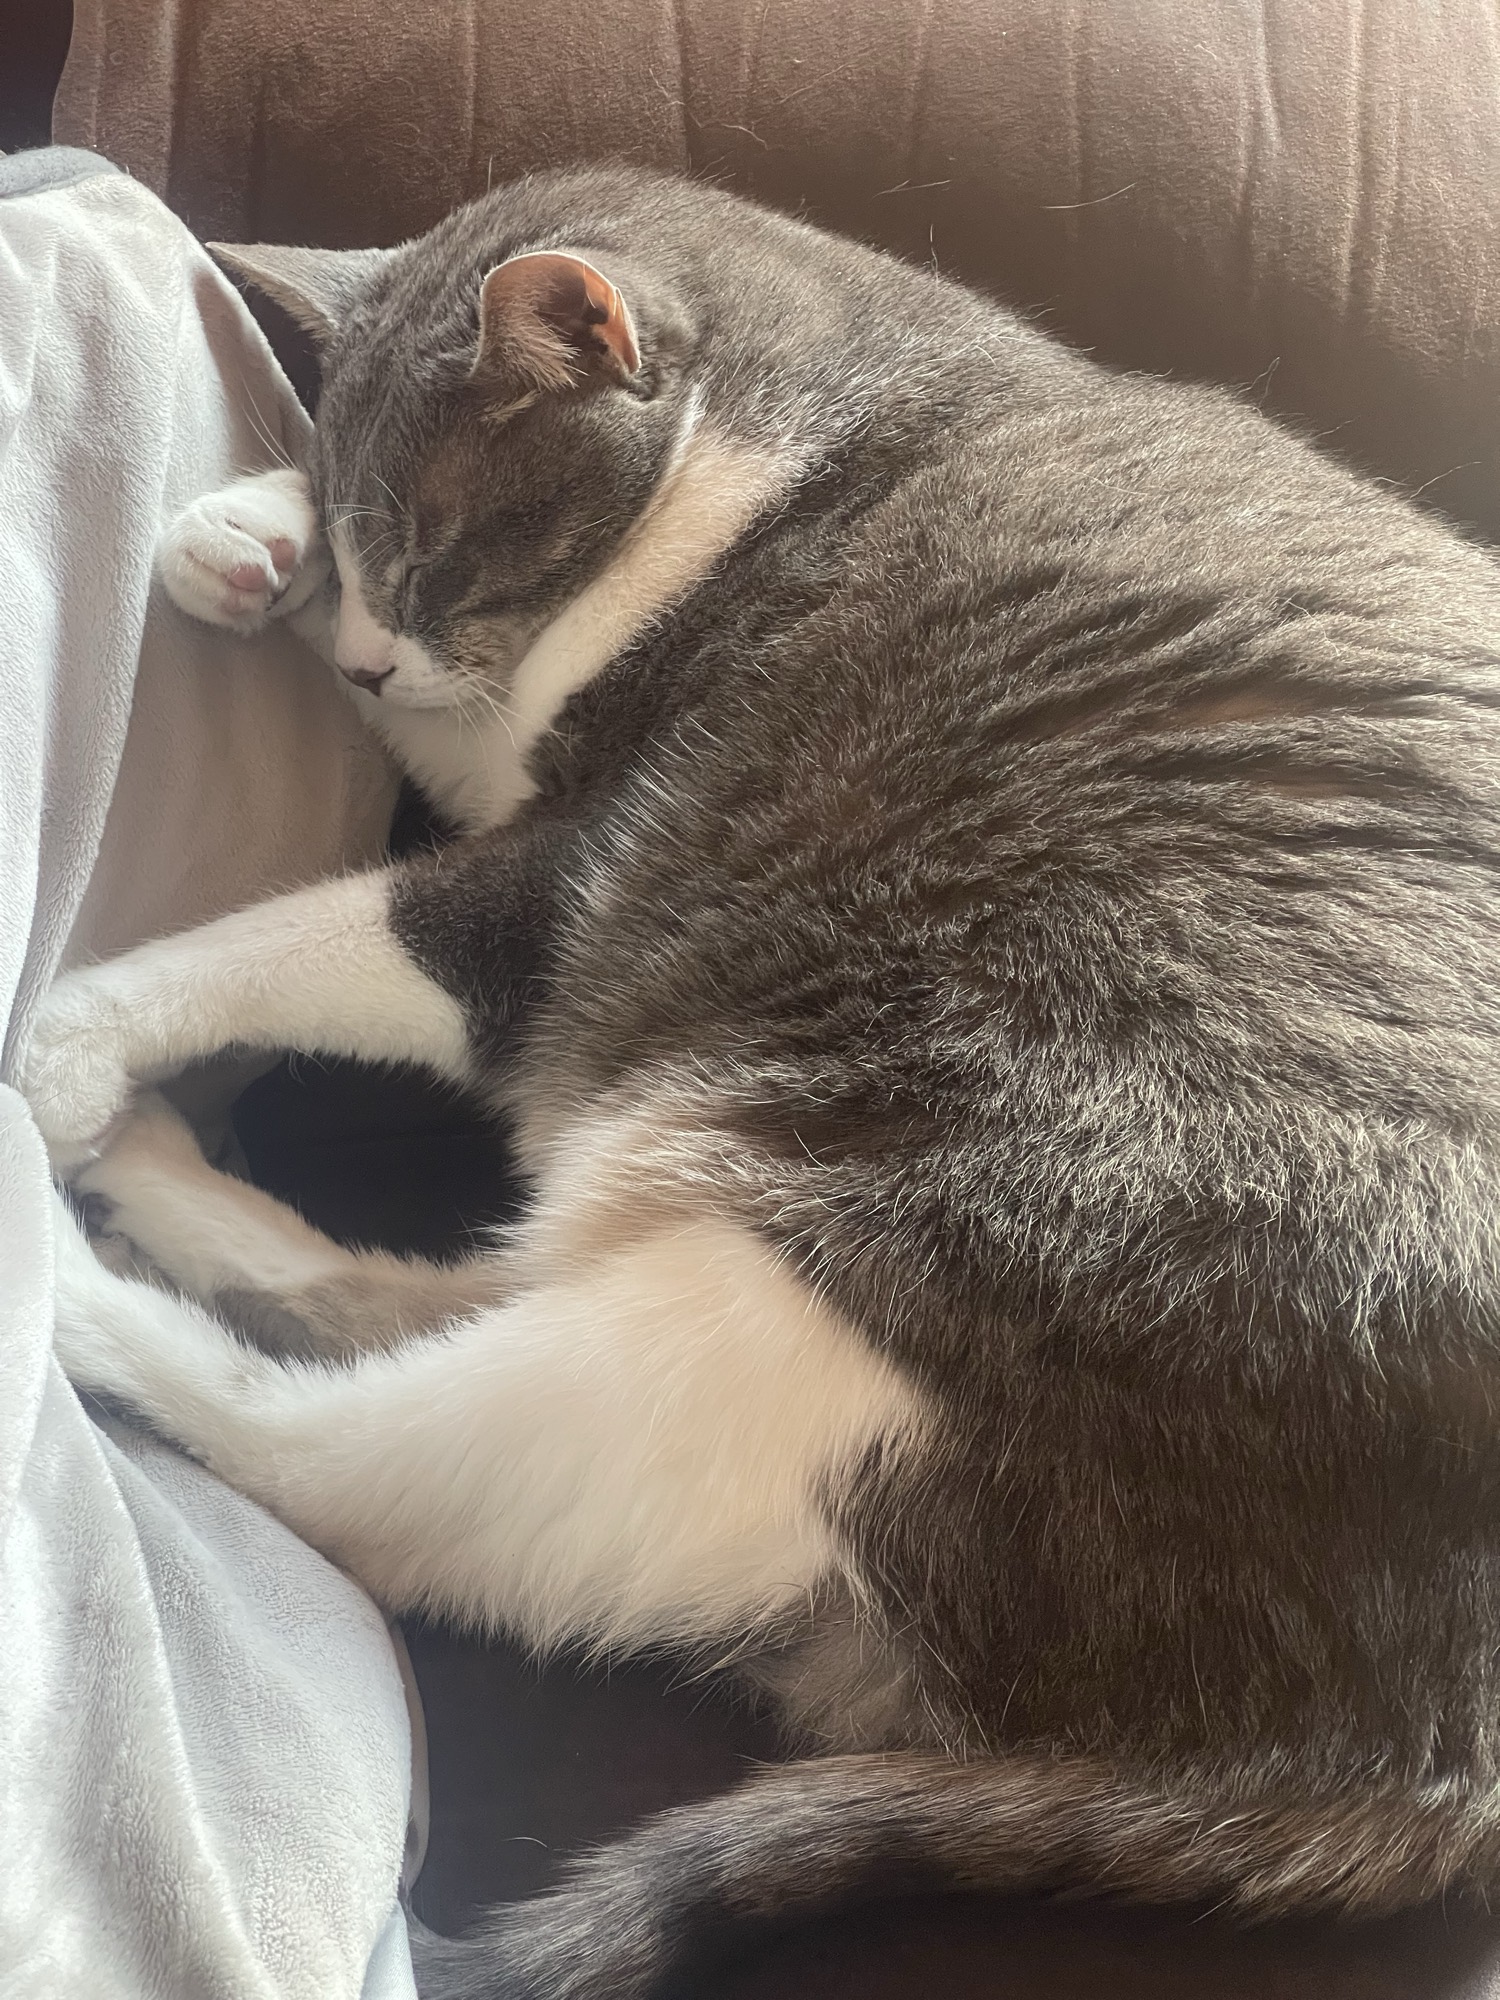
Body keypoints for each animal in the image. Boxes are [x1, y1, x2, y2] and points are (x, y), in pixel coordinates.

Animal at [27, 165, 1500, 2000]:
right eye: (379, 555)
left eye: (436, 548)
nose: (362, 656)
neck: (804, 447)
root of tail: (1439, 1765)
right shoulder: (511, 758)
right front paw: (253, 534)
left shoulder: (559, 889)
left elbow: (321, 930)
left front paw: (71, 1033)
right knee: (382, 1307)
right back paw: (149, 1174)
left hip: (805, 1315)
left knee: (333, 1459)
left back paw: (67, 1265)